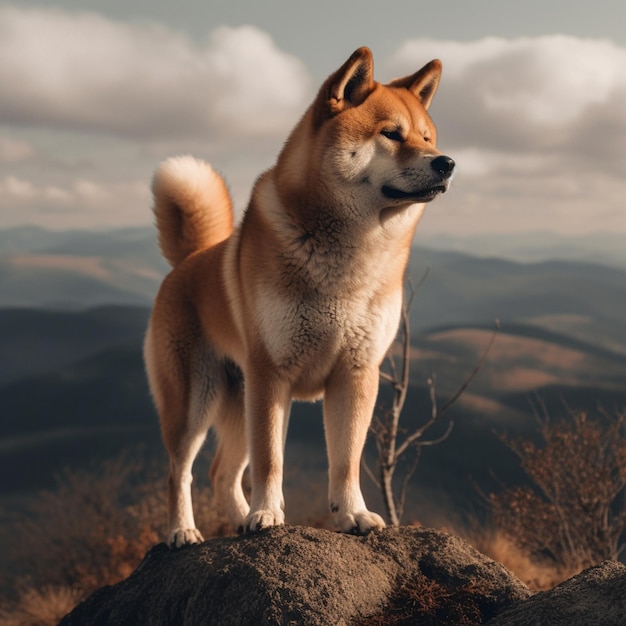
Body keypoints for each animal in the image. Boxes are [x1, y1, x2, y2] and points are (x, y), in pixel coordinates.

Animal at [143, 46, 450, 544]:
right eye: (391, 134)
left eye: (427, 138)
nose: (447, 162)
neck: (350, 259)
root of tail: (190, 259)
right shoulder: (272, 375)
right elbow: (271, 461)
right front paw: (267, 514)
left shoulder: (355, 374)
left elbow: (345, 461)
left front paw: (352, 514)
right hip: (195, 400)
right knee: (180, 472)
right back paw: (183, 531)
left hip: (237, 402)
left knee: (220, 473)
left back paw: (236, 518)